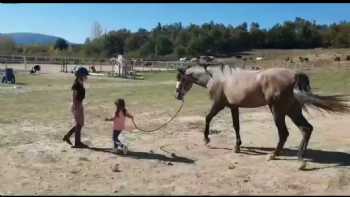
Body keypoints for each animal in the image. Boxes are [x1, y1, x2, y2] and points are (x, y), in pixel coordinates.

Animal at [176, 63, 350, 162]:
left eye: (182, 79)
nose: (177, 95)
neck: (219, 78)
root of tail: (294, 75)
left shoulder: (219, 104)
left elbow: (207, 118)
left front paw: (206, 139)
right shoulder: (234, 107)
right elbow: (236, 126)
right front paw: (237, 146)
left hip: (277, 111)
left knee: (284, 133)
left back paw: (274, 155)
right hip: (292, 110)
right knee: (307, 128)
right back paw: (301, 157)